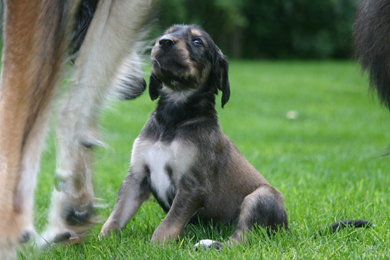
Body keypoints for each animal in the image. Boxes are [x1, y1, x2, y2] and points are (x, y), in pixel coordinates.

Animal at [100, 24, 288, 248]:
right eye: (167, 32)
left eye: (197, 41)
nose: (164, 42)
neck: (173, 118)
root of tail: (287, 228)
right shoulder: (137, 177)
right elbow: (117, 214)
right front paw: (100, 241)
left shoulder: (192, 186)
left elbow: (168, 224)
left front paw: (156, 247)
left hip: (262, 196)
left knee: (239, 239)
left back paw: (209, 245)